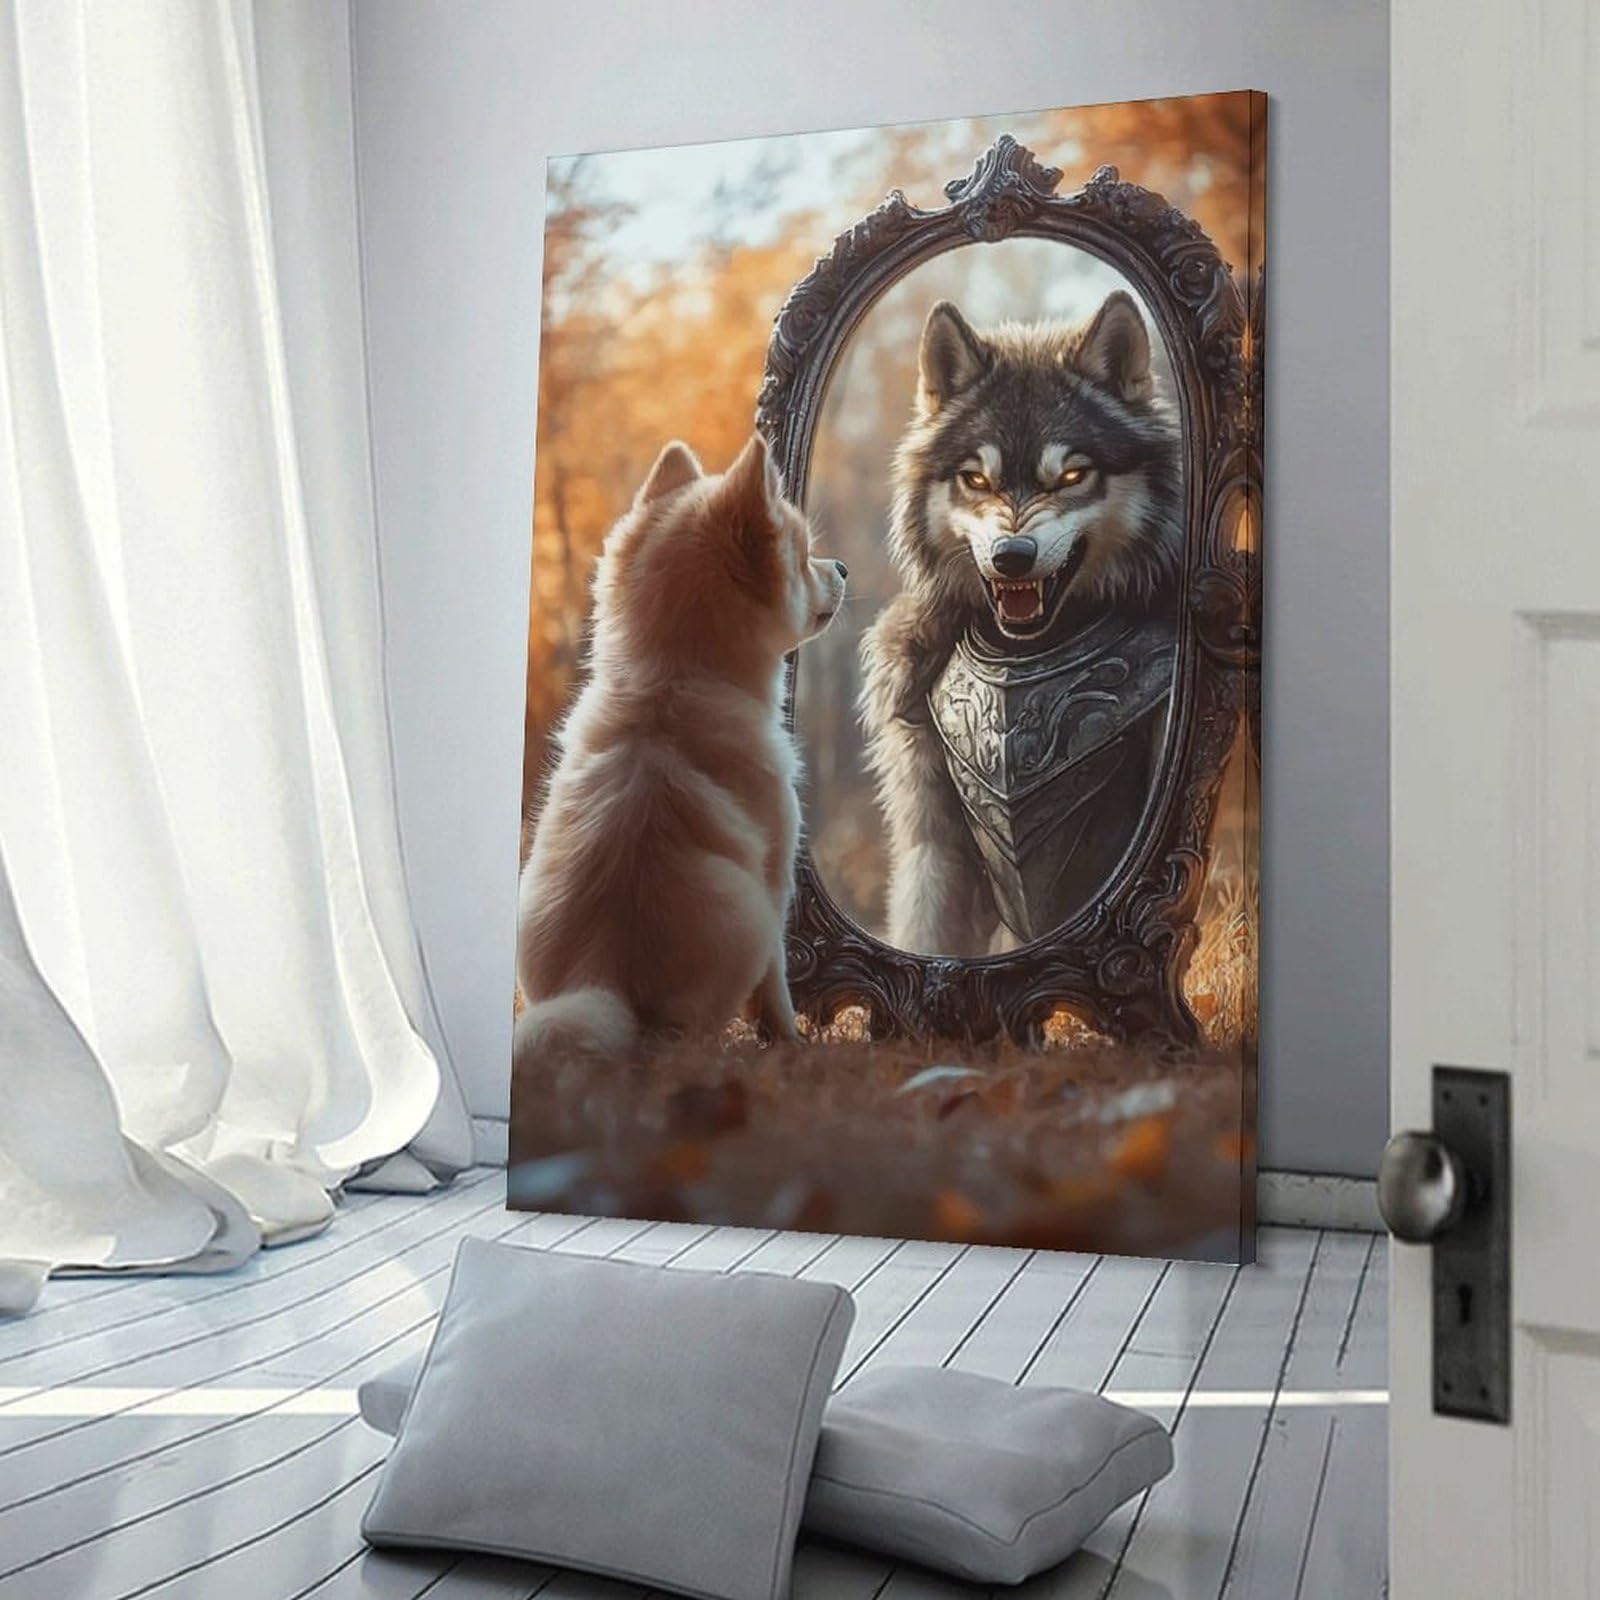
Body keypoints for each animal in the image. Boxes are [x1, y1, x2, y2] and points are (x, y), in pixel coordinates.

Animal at [514, 434, 847, 1078]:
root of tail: (601, 975)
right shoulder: (777, 874)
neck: (669, 682)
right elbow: (777, 988)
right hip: (748, 918)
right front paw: (790, 1044)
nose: (842, 567)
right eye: (803, 557)